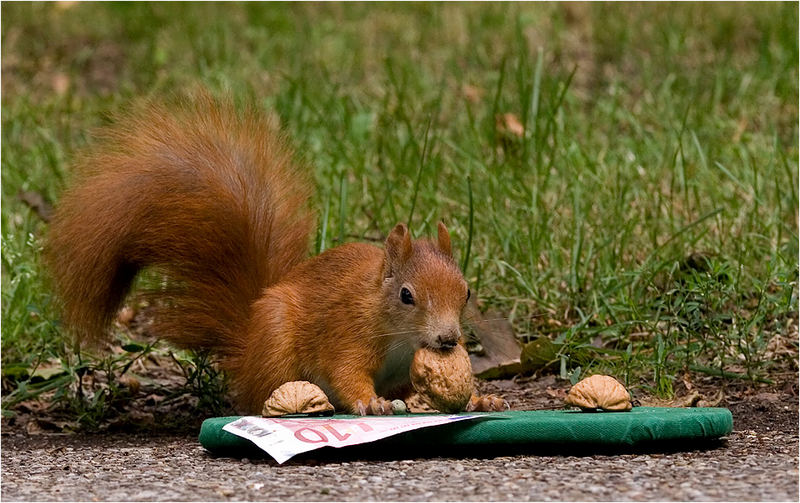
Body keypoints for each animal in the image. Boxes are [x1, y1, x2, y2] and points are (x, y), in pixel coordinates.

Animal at [45, 92, 506, 416]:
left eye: (465, 292)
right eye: (406, 295)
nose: (448, 340)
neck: (397, 334)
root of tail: (247, 345)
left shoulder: (405, 372)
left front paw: (478, 400)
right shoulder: (346, 332)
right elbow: (346, 372)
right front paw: (369, 403)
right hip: (277, 342)